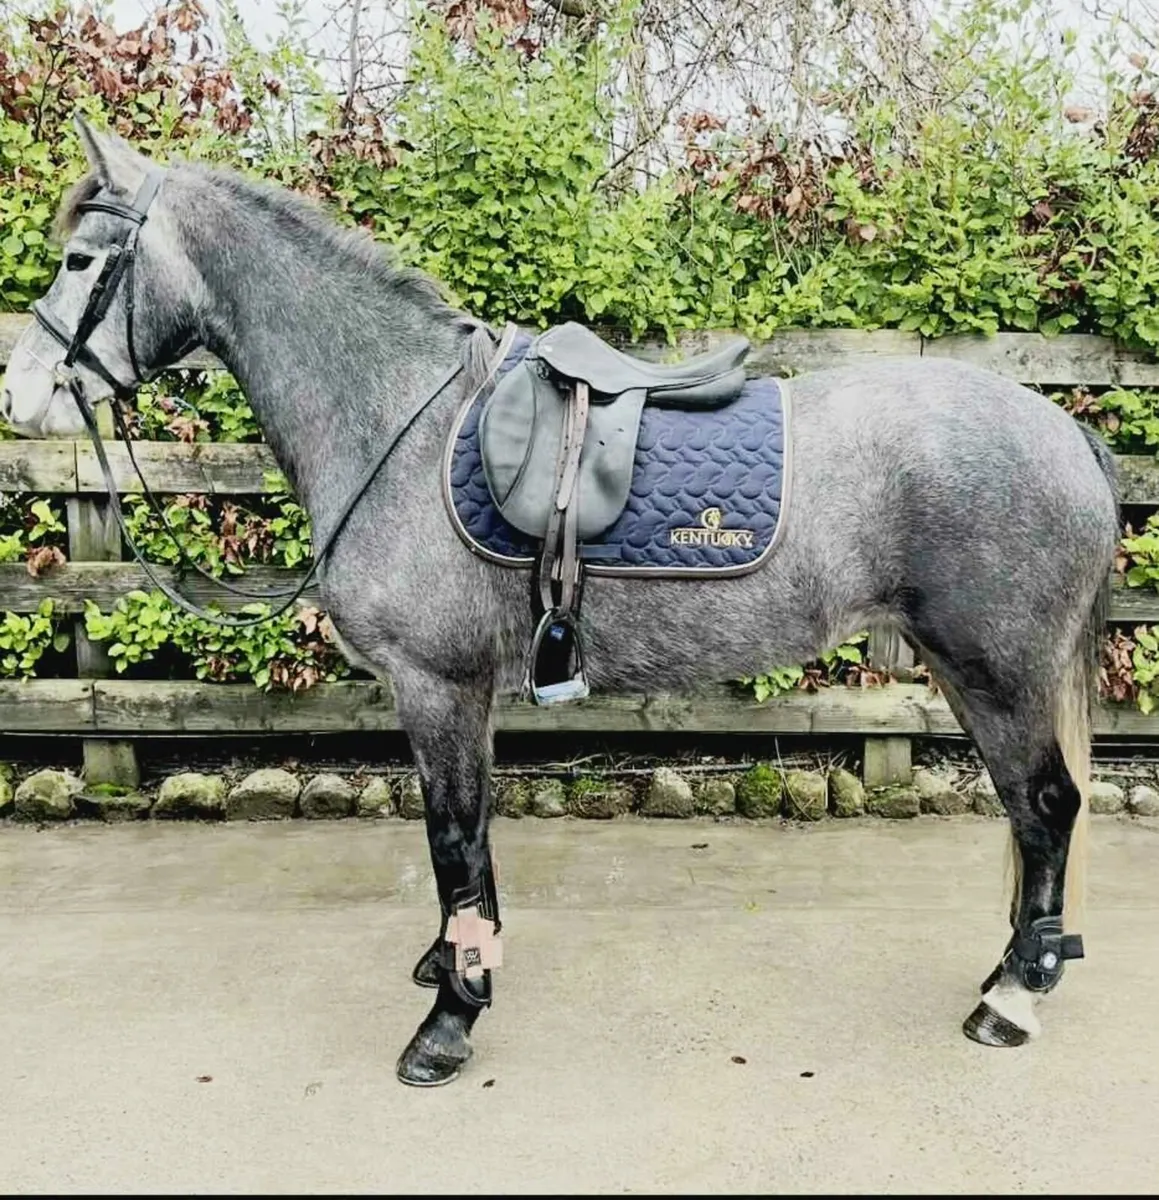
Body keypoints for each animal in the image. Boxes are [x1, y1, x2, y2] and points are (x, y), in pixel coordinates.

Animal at [1, 118, 1120, 1086]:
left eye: (82, 260)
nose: (20, 396)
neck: (401, 421)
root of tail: (1067, 433)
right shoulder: (461, 696)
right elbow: (469, 846)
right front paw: (454, 964)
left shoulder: (437, 686)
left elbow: (454, 839)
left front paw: (449, 1019)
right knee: (1027, 813)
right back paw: (1008, 973)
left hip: (993, 668)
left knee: (1045, 806)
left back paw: (1011, 1000)